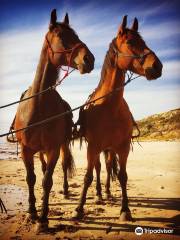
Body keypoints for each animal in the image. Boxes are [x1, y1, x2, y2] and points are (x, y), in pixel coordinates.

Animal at [13, 8, 94, 231]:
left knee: (64, 166)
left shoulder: (53, 148)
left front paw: (43, 219)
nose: (89, 59)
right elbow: (31, 179)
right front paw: (32, 211)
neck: (38, 106)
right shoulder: (27, 150)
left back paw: (65, 190)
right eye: (61, 36)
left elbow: (47, 181)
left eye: (75, 34)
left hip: (62, 145)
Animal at [73, 15, 162, 221]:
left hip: (110, 149)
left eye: (144, 41)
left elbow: (122, 176)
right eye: (130, 42)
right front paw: (79, 208)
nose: (157, 66)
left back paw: (106, 193)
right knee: (98, 168)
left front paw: (125, 209)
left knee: (106, 167)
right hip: (99, 148)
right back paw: (99, 195)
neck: (109, 108)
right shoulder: (92, 147)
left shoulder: (122, 148)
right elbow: (88, 176)